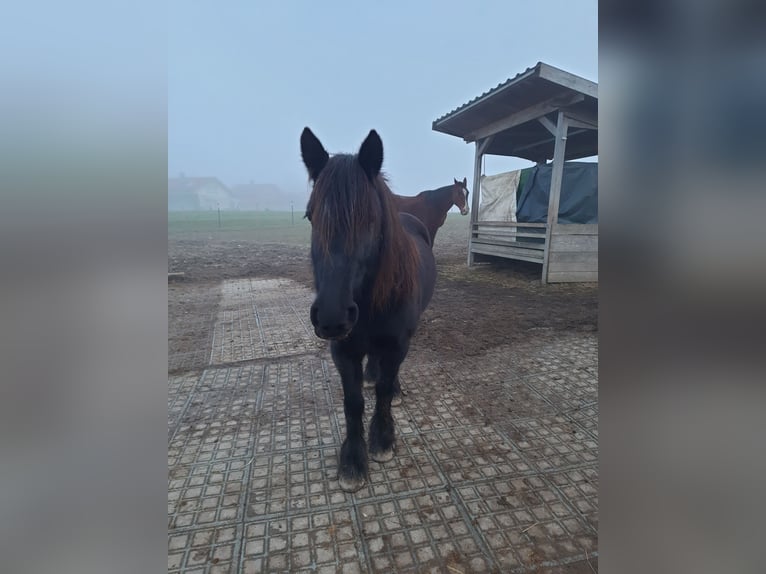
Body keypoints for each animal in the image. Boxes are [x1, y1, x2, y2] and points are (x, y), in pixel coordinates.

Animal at [300, 127, 436, 492]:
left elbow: (384, 391)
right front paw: (352, 459)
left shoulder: (397, 343)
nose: (332, 317)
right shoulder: (343, 351)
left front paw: (383, 439)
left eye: (371, 219)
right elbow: (353, 401)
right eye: (309, 216)